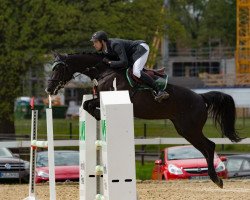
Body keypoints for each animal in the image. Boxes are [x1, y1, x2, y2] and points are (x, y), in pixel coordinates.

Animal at [45, 51, 242, 188]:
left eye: (59, 68)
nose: (49, 89)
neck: (104, 71)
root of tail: (201, 97)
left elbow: (90, 105)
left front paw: (100, 115)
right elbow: (87, 105)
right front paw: (99, 116)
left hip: (189, 129)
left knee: (209, 146)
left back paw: (216, 179)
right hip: (184, 129)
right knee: (206, 147)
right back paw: (214, 178)